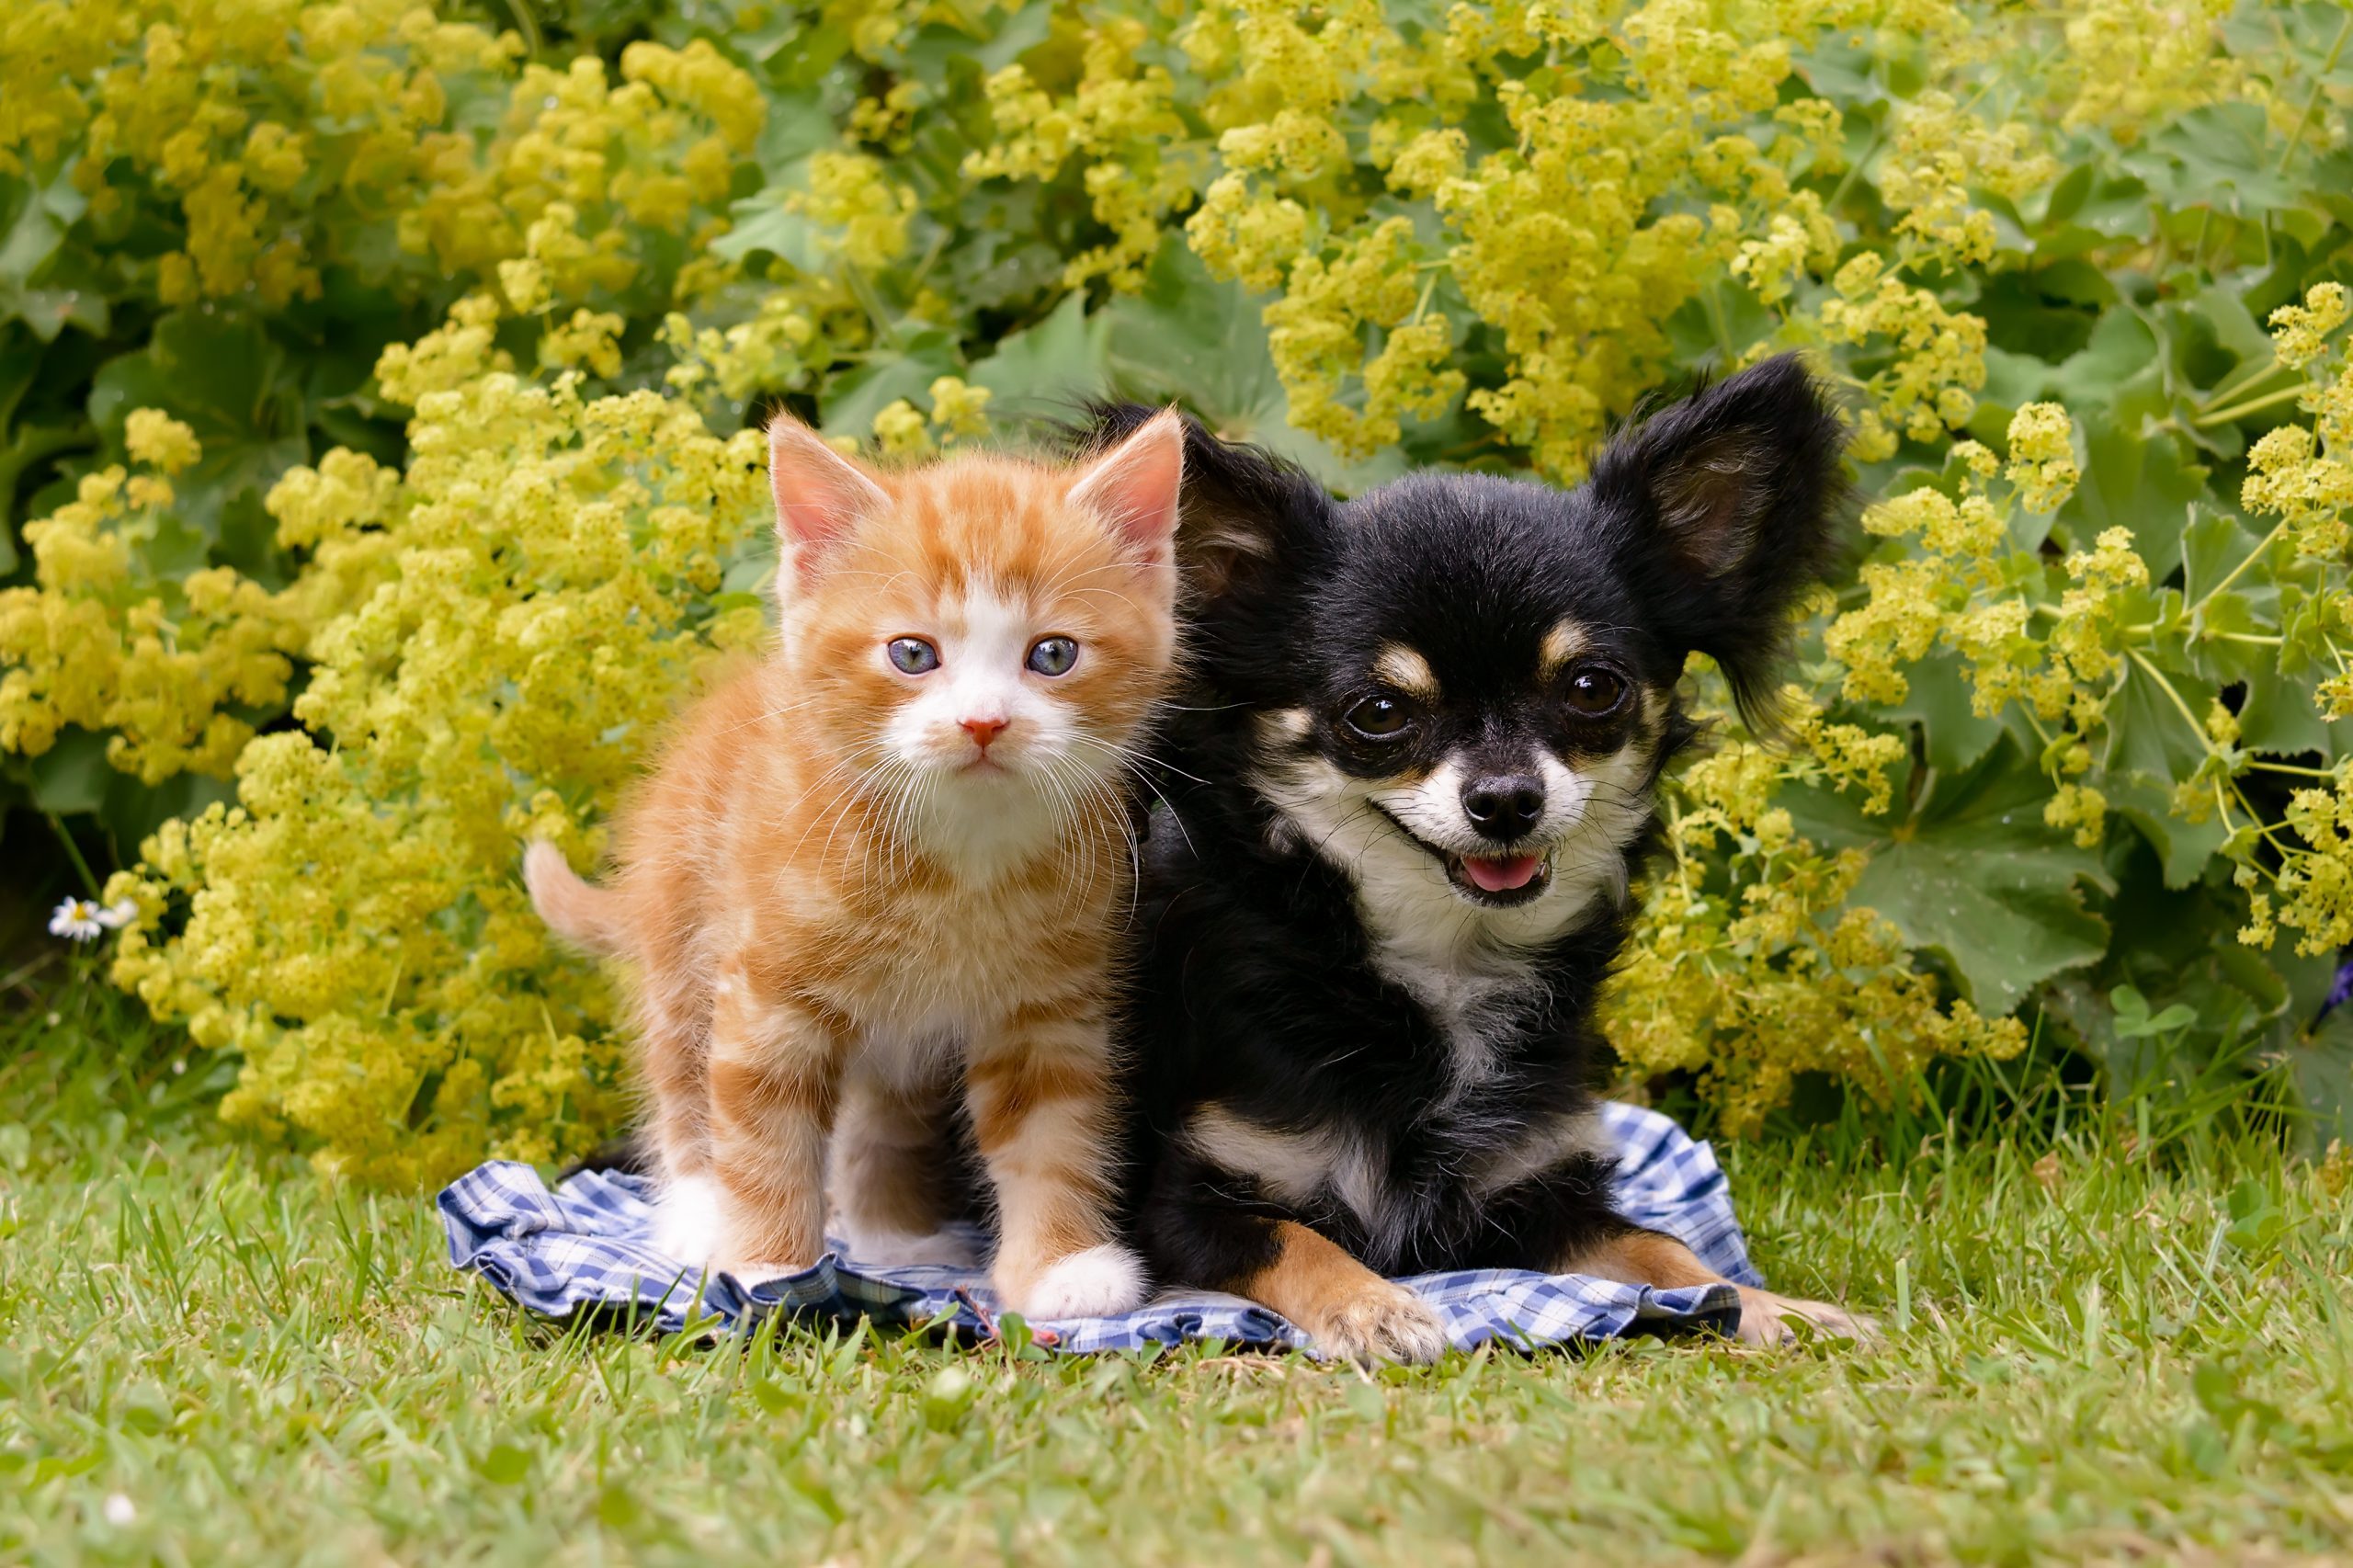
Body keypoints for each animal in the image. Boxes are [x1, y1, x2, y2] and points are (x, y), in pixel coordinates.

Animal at [527, 409, 1186, 1309]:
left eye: (1053, 655)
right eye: (912, 654)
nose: (984, 722)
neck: (958, 863)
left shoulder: (1044, 1005)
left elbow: (1049, 1130)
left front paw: (1061, 1268)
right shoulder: (765, 991)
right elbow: (762, 1132)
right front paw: (766, 1265)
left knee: (876, 1113)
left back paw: (888, 1235)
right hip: (683, 931)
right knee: (680, 1078)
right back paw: (698, 1217)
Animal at [1086, 353, 1872, 1356]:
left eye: (1592, 688)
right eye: (1379, 711)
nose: (1504, 800)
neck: (1442, 963)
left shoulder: (1536, 1189)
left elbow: (1665, 1251)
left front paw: (1775, 1305)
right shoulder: (1188, 1201)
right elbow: (1299, 1241)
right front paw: (1377, 1307)